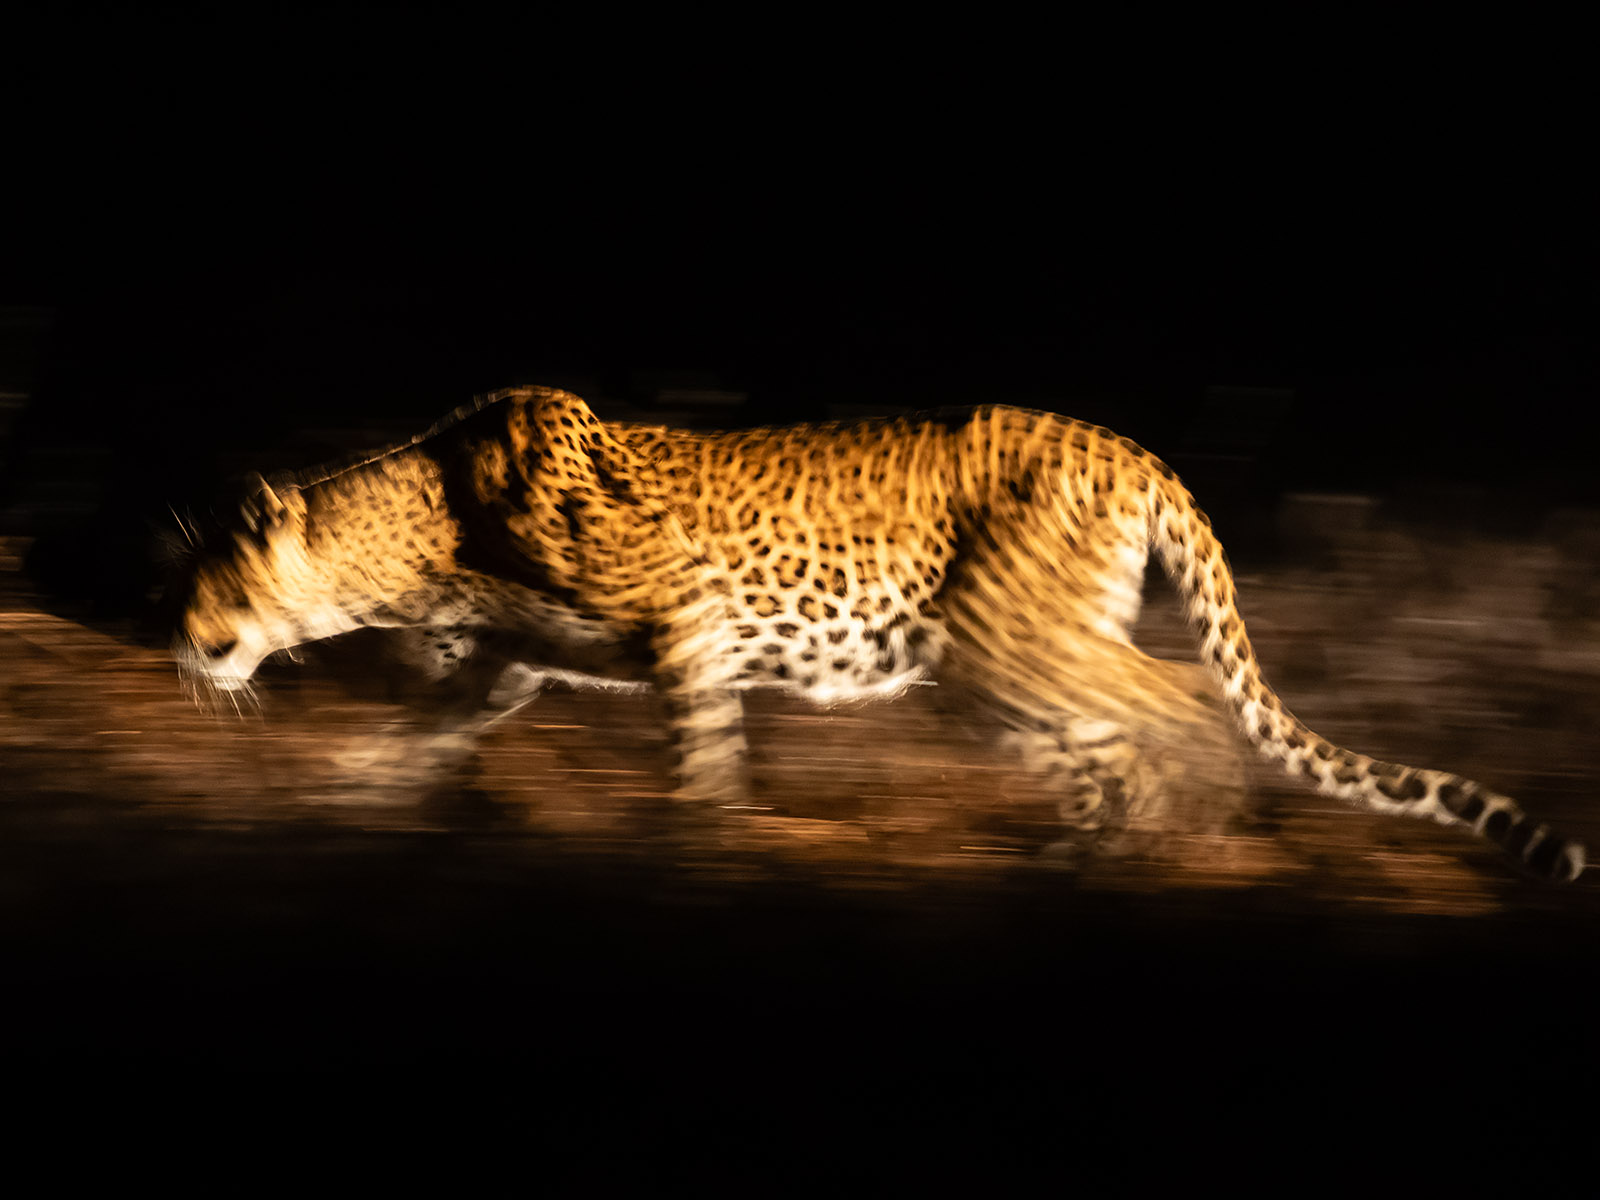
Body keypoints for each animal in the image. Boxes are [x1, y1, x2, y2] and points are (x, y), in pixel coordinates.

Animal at [171, 385, 1586, 882]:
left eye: (209, 576)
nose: (175, 635)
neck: (420, 537)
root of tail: (1131, 447)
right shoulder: (513, 665)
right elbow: (419, 736)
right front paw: (337, 805)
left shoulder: (684, 621)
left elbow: (702, 763)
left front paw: (702, 855)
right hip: (991, 674)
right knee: (1107, 749)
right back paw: (1076, 865)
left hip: (1012, 642)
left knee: (1180, 709)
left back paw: (1171, 859)